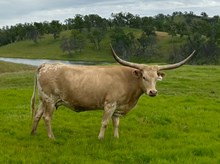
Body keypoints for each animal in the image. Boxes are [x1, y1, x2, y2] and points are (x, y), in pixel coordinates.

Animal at [30, 46, 195, 140]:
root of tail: (45, 65)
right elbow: (105, 122)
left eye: (156, 78)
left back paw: (33, 133)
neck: (128, 81)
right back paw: (52, 137)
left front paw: (116, 138)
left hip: (43, 100)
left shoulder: (118, 107)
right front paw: (100, 138)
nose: (153, 92)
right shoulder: (110, 104)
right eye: (144, 77)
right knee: (46, 117)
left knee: (37, 115)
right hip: (50, 100)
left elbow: (116, 123)